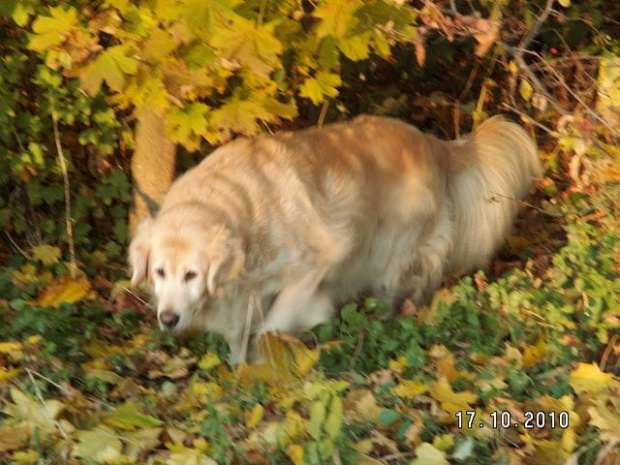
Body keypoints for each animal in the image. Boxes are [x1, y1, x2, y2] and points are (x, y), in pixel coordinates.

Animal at [128, 114, 540, 360]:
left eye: (192, 275)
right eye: (160, 272)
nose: (168, 318)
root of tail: (435, 144)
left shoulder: (314, 264)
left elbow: (272, 326)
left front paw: (265, 363)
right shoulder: (245, 294)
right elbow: (240, 335)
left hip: (391, 247)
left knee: (400, 288)